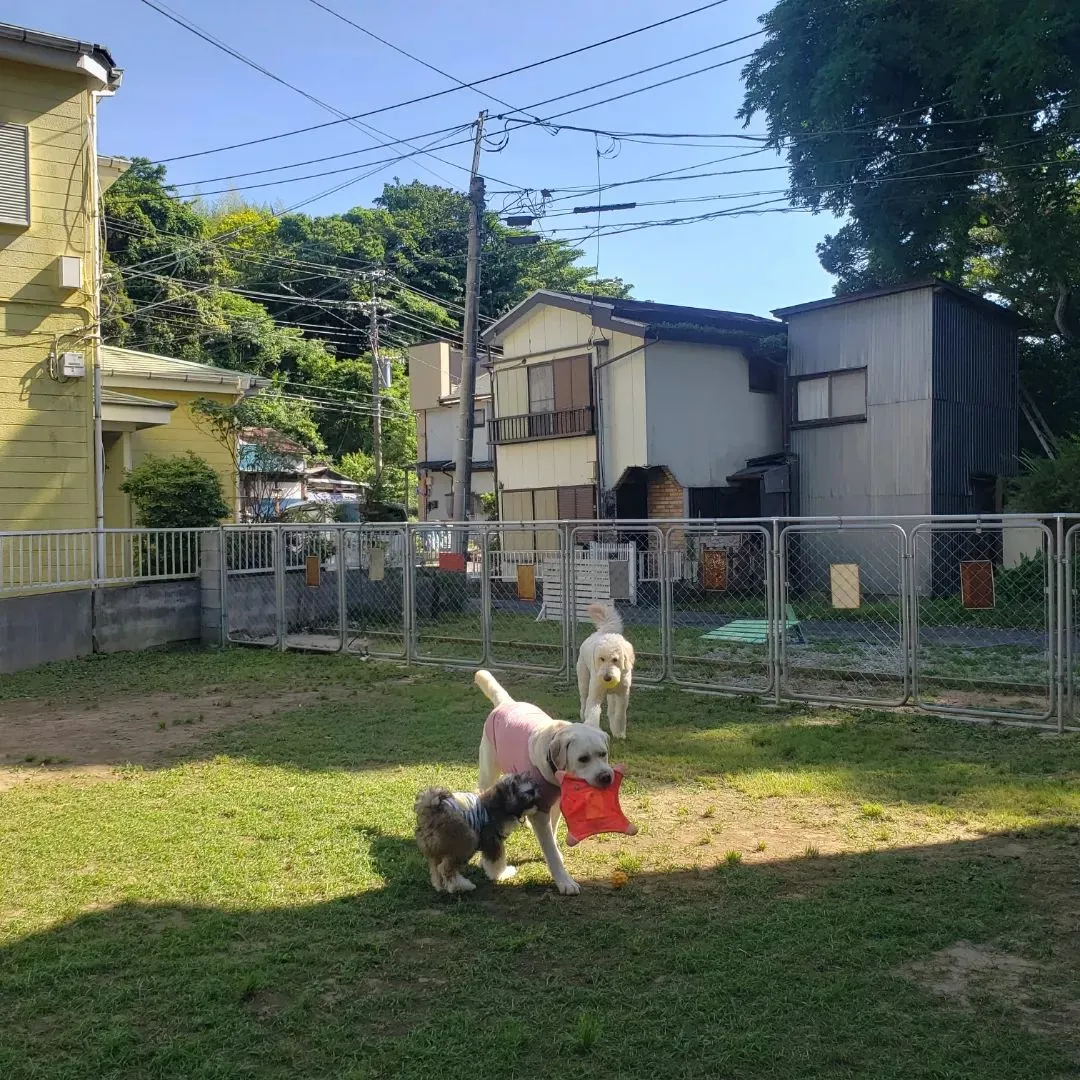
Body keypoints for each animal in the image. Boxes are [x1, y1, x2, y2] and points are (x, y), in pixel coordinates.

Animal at [416, 773, 544, 889]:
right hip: (467, 840)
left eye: (526, 779)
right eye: (514, 787)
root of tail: (430, 810)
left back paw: (440, 885)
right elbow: (497, 862)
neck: (501, 805)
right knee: (445, 869)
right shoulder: (493, 841)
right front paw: (501, 874)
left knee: (435, 869)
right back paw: (462, 886)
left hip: (436, 851)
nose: (535, 789)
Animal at [578, 600, 635, 743]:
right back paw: (582, 714)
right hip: (583, 679)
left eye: (615, 659)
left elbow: (619, 715)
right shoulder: (595, 694)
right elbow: (593, 711)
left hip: (612, 695)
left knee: (611, 710)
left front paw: (619, 732)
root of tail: (604, 631)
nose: (607, 678)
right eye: (601, 659)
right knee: (583, 699)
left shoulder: (622, 695)